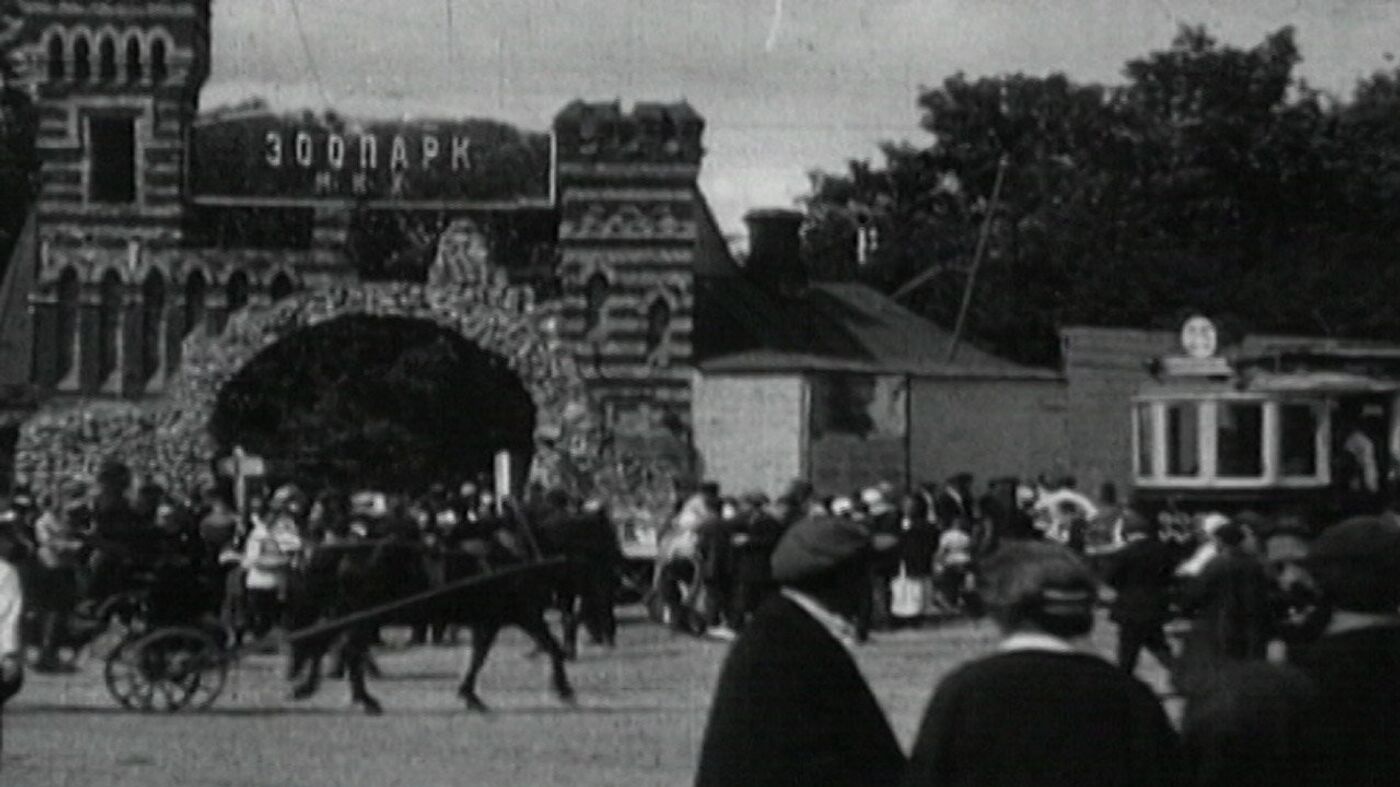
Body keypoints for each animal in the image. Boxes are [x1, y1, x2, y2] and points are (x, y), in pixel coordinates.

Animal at [284, 534, 574, 714]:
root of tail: (340, 552)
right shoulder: (521, 615)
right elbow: (551, 646)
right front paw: (564, 689)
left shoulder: (490, 621)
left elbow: (478, 656)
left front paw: (469, 694)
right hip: (363, 618)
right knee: (348, 650)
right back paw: (363, 699)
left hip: (346, 613)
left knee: (326, 645)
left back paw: (322, 688)